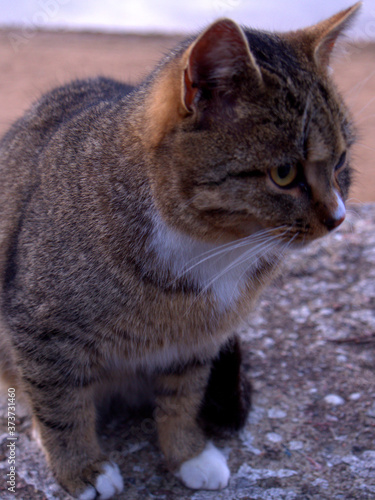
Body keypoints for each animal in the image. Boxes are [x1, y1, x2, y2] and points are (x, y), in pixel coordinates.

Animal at [0, 3, 362, 500]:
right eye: (285, 174)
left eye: (342, 161)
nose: (339, 218)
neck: (216, 247)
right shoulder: (41, 327)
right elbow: (60, 405)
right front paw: (82, 469)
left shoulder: (197, 339)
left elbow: (183, 398)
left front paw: (189, 453)